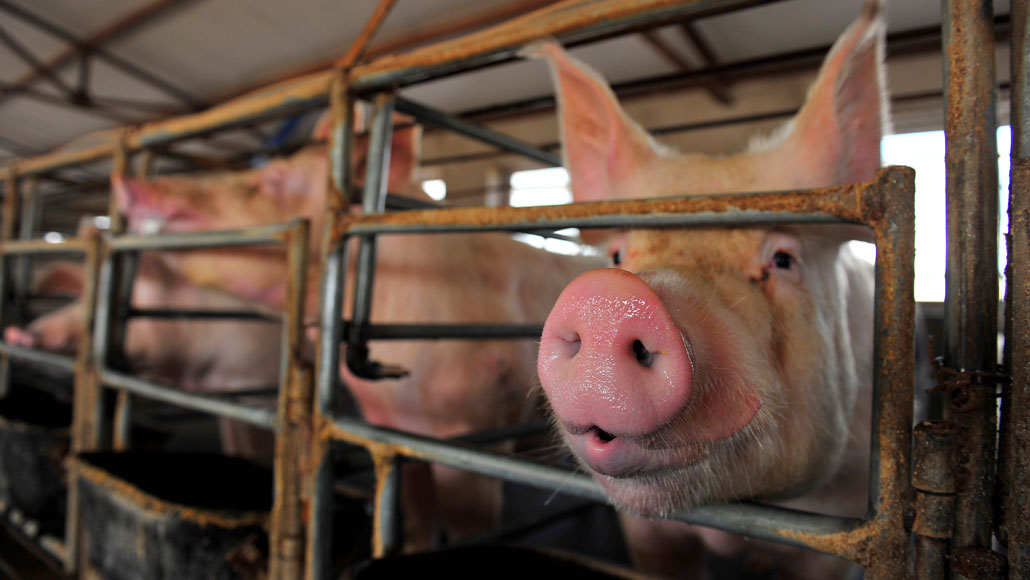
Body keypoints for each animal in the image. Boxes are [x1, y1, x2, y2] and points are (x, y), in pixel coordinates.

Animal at [111, 115, 604, 548]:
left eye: (273, 179)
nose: (126, 183)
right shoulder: (389, 430)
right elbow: (415, 515)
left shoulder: (469, 427)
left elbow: (469, 524)